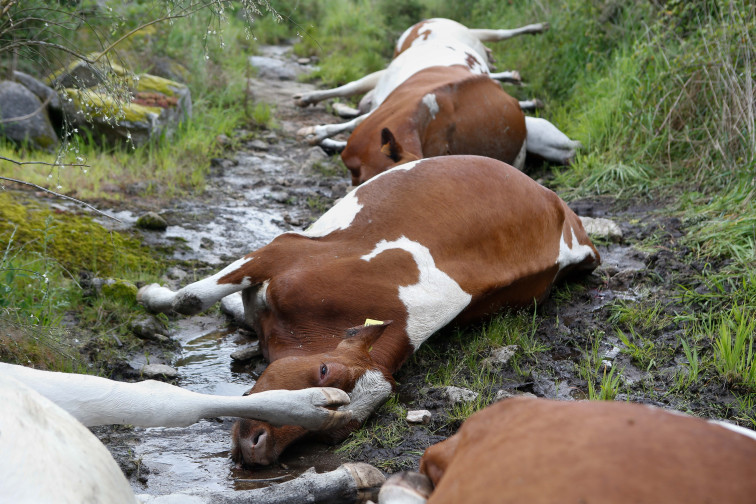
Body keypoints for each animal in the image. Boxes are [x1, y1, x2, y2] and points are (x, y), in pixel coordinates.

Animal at [137, 155, 601, 466]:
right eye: (324, 371)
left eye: (334, 435)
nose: (258, 448)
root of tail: (565, 214)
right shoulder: (286, 249)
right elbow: (190, 298)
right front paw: (151, 294)